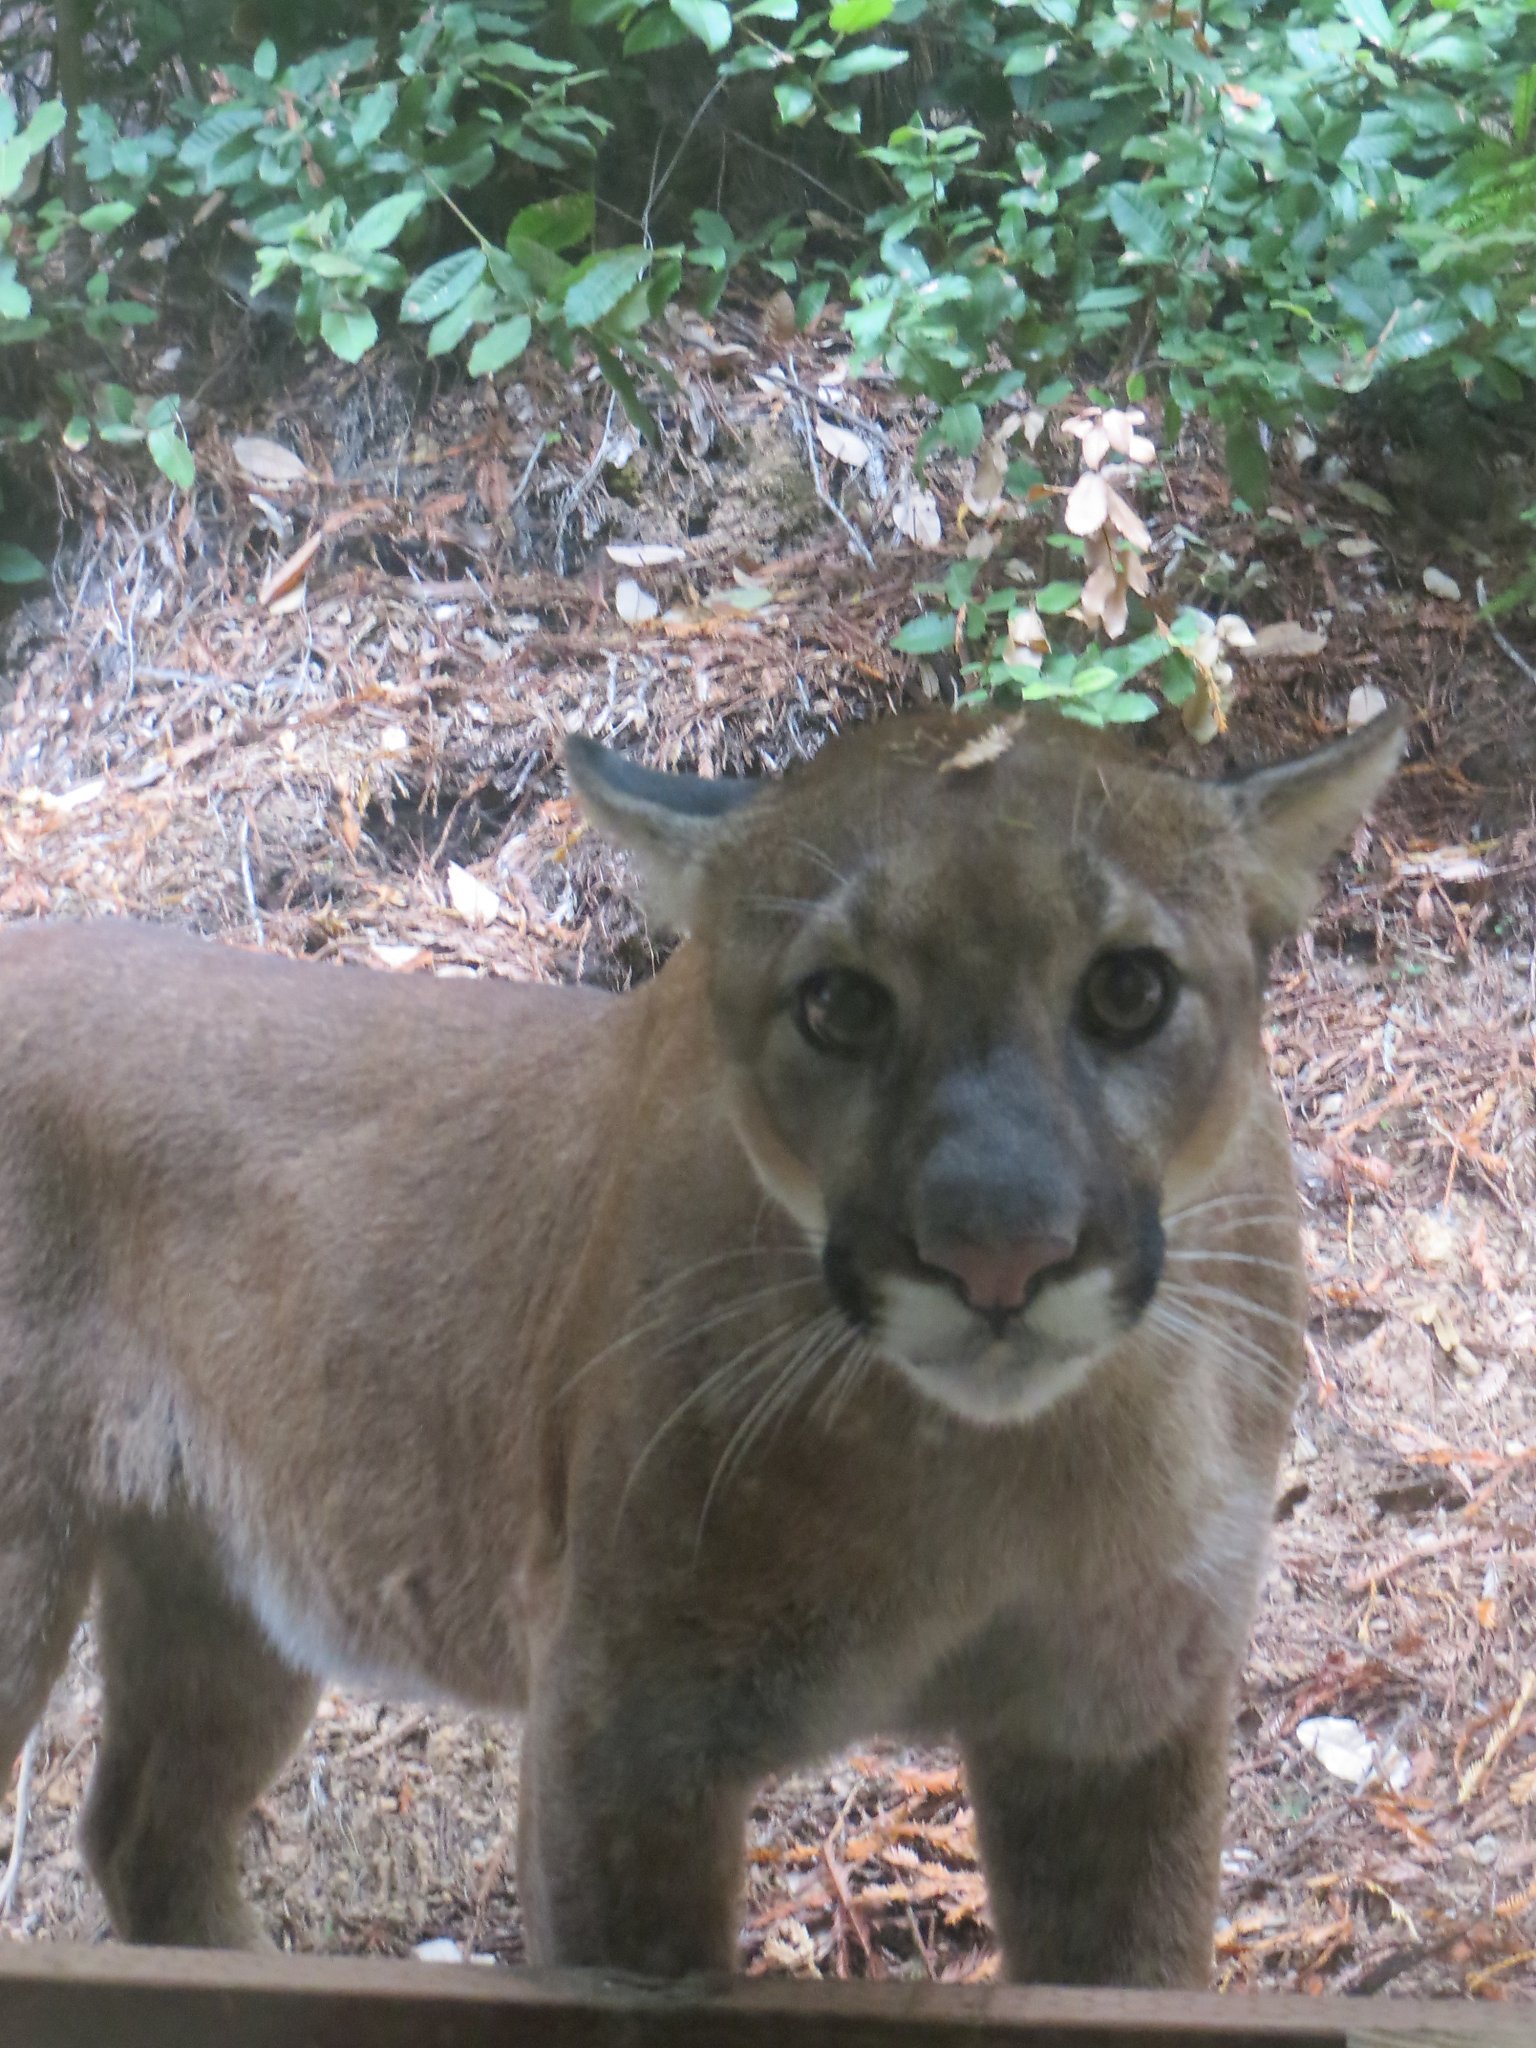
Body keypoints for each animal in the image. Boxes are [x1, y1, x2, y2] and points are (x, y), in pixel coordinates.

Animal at [0, 704, 1409, 1982]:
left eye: (1128, 989)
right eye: (839, 1005)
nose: (998, 1254)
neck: (987, 1478)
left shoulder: (1118, 1717)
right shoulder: (627, 1729)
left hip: (223, 1590)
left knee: (143, 1826)